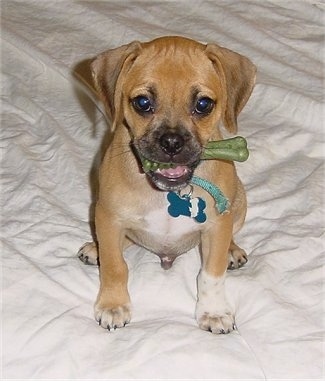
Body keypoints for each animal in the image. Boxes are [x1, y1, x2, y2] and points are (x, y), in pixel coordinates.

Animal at [78, 35, 256, 332]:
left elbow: (211, 273)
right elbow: (115, 266)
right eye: (142, 102)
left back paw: (232, 250)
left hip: (239, 201)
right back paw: (96, 248)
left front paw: (213, 310)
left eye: (203, 104)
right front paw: (113, 305)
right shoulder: (109, 216)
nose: (172, 142)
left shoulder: (217, 225)